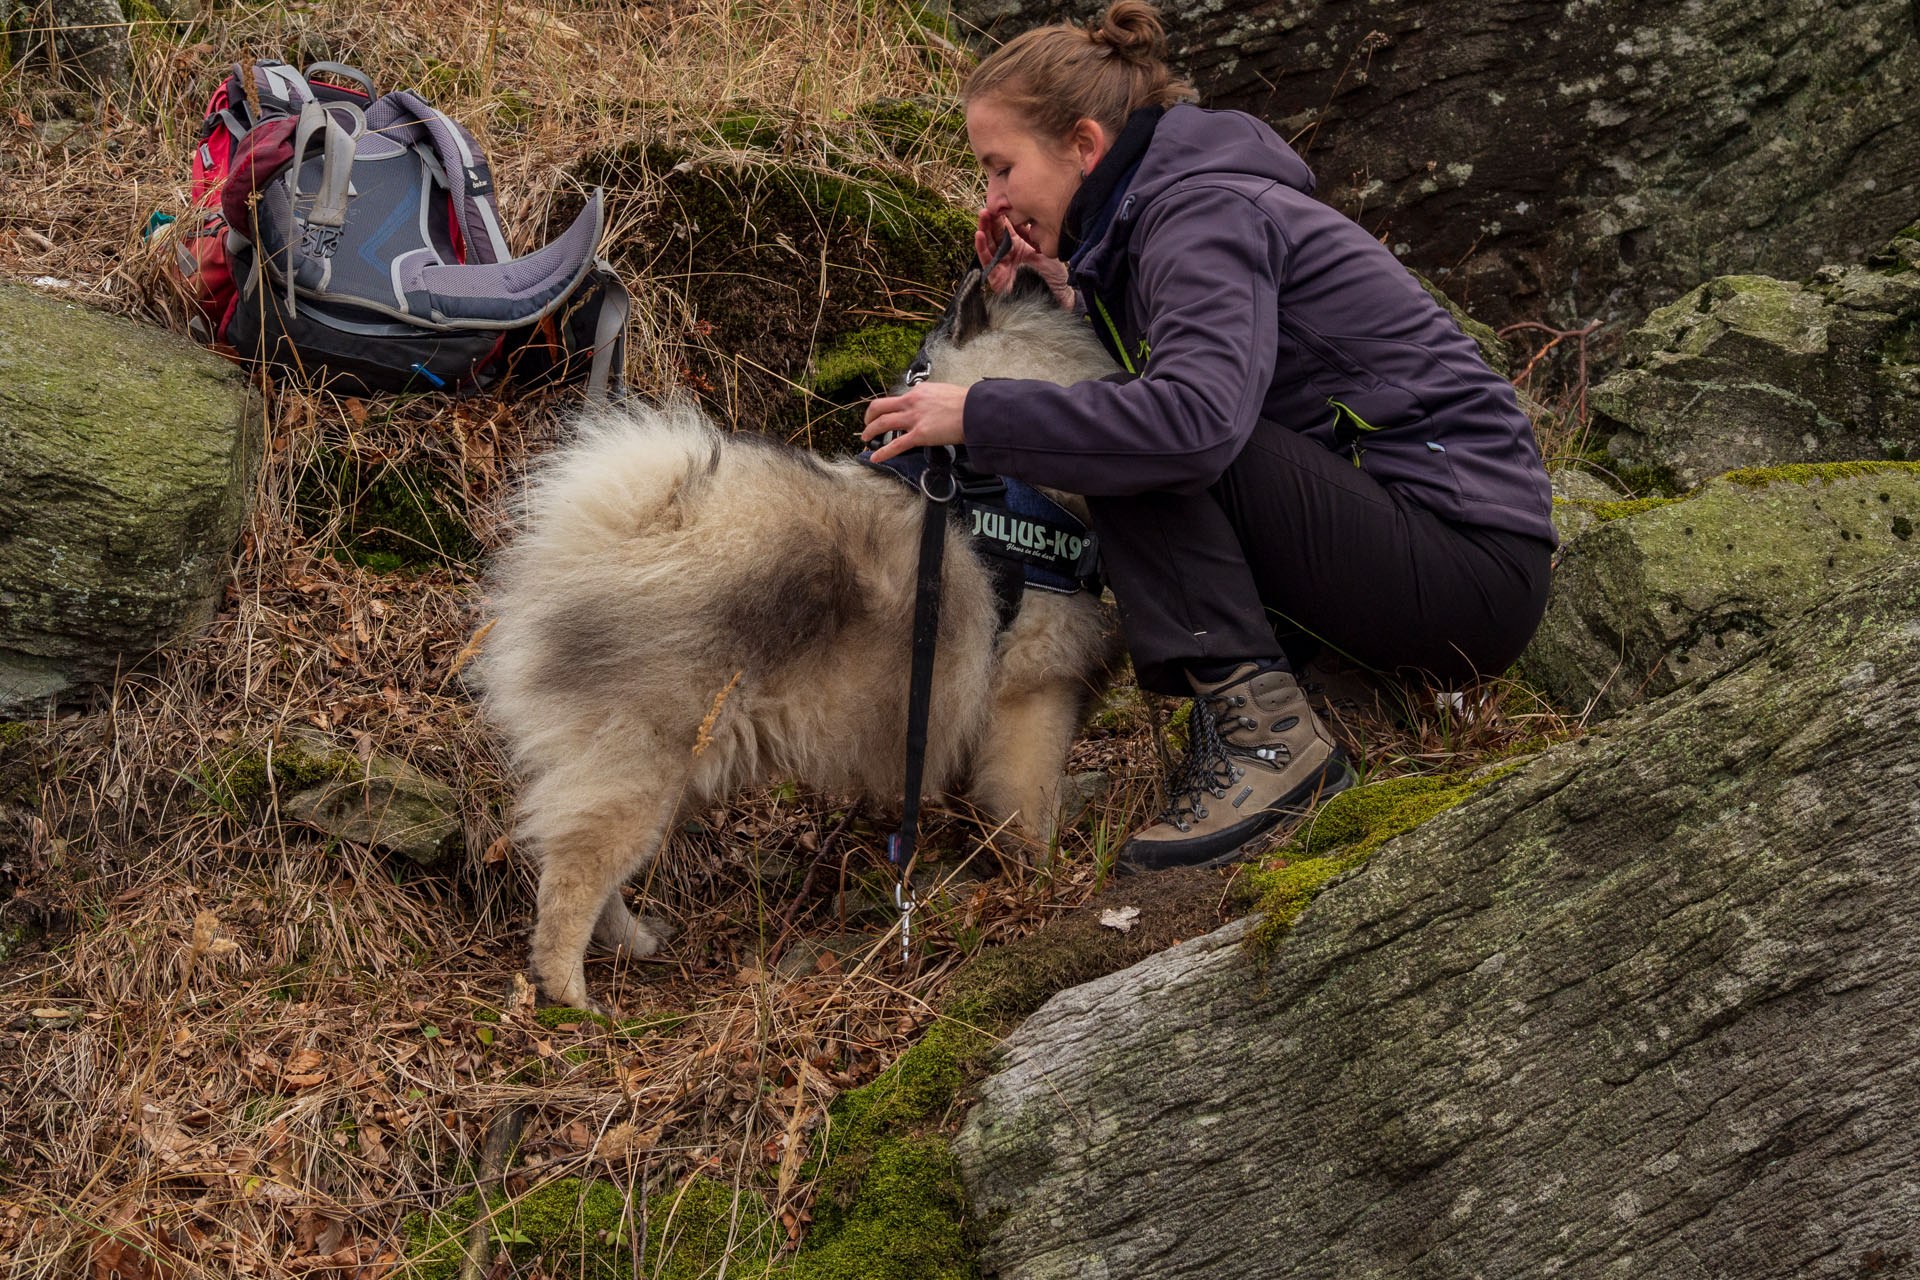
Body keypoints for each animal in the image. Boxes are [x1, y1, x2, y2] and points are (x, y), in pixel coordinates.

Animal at [478, 270, 1121, 1013]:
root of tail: (616, 534)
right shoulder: (1032, 700)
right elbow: (1030, 798)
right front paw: (1049, 872)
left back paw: (631, 941)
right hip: (644, 762)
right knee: (574, 872)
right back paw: (571, 993)